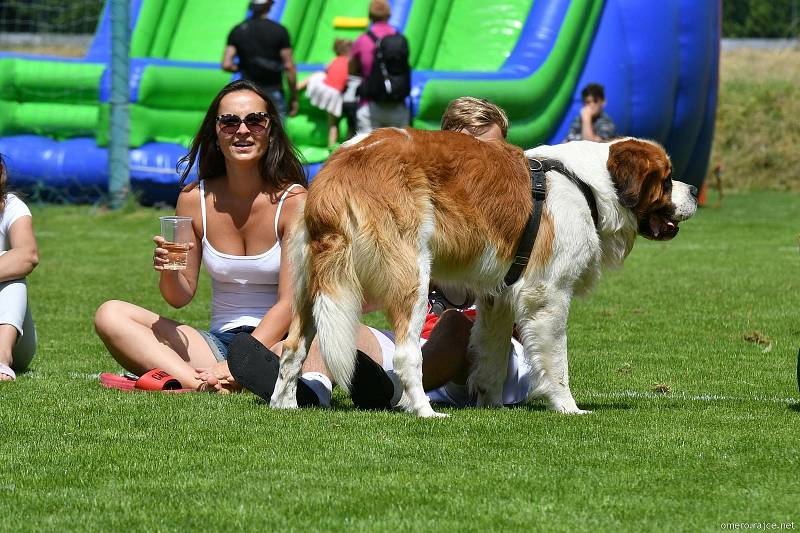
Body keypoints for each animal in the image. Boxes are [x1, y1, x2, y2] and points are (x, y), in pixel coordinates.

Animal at [268, 128, 692, 416]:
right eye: (666, 178)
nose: (692, 191)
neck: (589, 186)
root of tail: (341, 164)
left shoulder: (498, 298)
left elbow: (492, 354)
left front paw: (491, 403)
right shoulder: (548, 296)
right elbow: (557, 361)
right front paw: (568, 407)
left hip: (309, 284)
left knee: (293, 347)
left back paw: (285, 404)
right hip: (411, 276)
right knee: (406, 355)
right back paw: (424, 412)